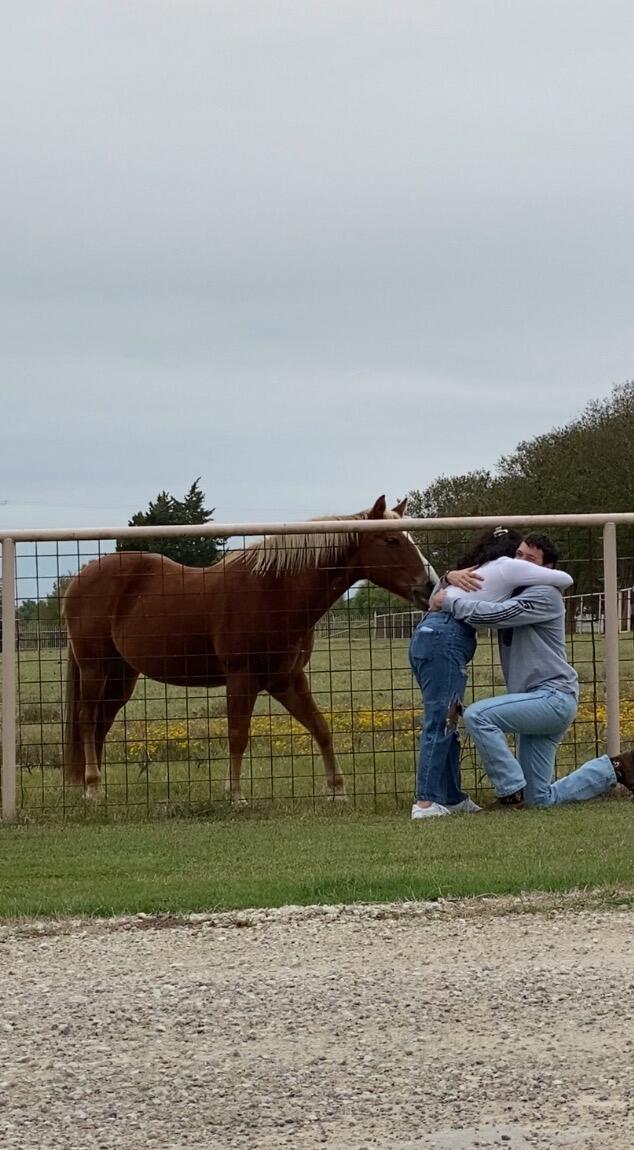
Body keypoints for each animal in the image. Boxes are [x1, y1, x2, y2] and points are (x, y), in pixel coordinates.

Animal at [62, 495, 437, 802]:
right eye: (391, 540)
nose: (429, 586)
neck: (274, 590)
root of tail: (80, 578)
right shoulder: (242, 678)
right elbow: (238, 734)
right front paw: (236, 794)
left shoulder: (287, 679)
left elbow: (320, 727)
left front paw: (336, 790)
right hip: (95, 667)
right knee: (86, 719)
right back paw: (92, 787)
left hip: (121, 675)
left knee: (101, 722)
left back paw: (94, 787)